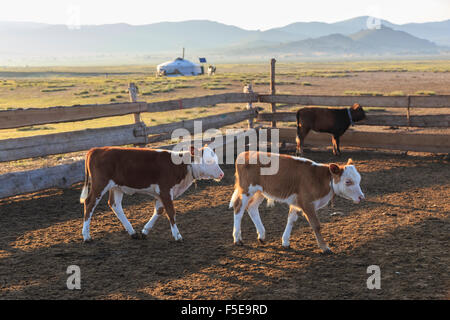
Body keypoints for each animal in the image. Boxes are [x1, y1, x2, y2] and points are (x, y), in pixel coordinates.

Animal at [80, 144, 224, 240]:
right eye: (209, 161)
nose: (222, 174)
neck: (181, 166)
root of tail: (96, 150)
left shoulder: (161, 194)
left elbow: (159, 211)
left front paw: (145, 230)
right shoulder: (165, 190)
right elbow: (171, 212)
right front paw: (177, 235)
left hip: (116, 187)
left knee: (115, 205)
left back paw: (132, 232)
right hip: (100, 184)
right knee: (89, 203)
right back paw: (86, 235)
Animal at [229, 151, 366, 254]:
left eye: (359, 180)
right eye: (348, 181)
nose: (361, 197)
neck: (320, 179)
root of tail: (245, 153)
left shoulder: (297, 201)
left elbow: (291, 220)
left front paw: (285, 242)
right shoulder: (307, 203)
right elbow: (316, 225)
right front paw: (325, 247)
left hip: (260, 191)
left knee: (252, 207)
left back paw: (261, 235)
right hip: (246, 189)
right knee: (238, 208)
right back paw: (237, 239)